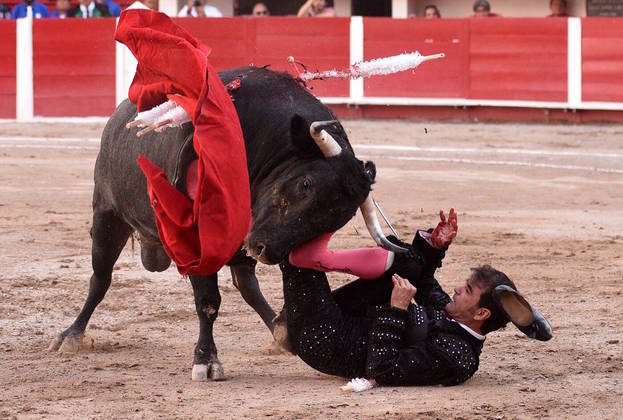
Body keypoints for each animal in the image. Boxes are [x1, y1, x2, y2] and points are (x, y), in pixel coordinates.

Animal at [46, 66, 402, 380]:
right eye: (306, 185)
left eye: (337, 220)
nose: (263, 249)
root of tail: (119, 116)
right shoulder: (198, 236)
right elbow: (208, 302)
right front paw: (206, 361)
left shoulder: (270, 234)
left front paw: (284, 331)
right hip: (107, 214)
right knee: (100, 278)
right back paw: (71, 336)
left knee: (247, 285)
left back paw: (280, 332)